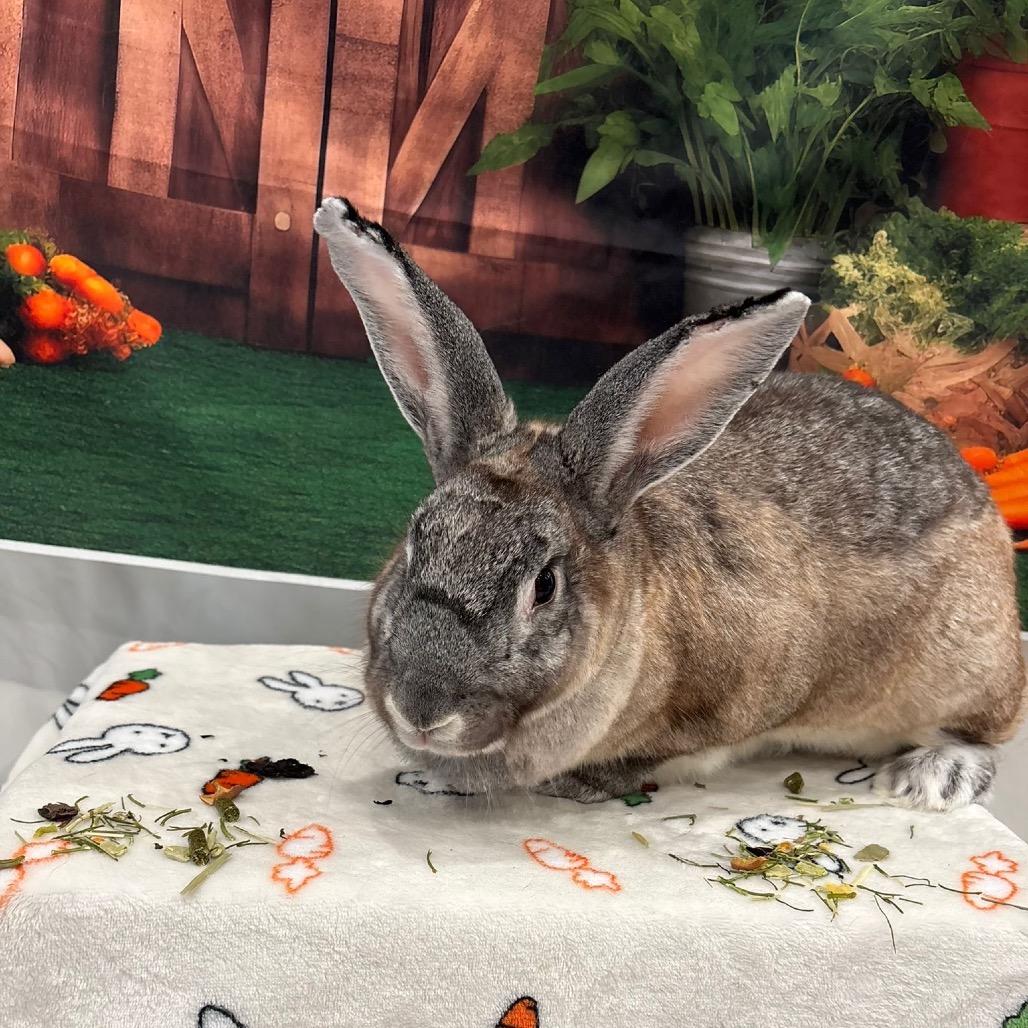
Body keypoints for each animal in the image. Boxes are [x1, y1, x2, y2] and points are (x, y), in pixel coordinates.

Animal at [314, 195, 1026, 812]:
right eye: (415, 541)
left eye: (544, 586)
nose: (421, 710)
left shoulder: (739, 698)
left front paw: (578, 785)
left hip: (965, 670)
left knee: (985, 730)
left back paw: (932, 778)